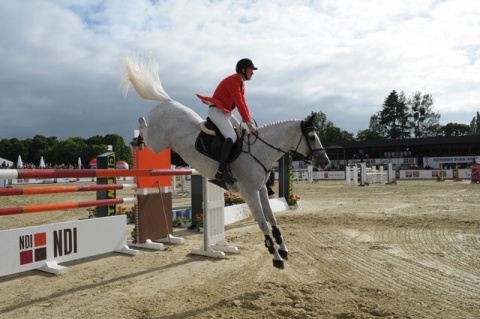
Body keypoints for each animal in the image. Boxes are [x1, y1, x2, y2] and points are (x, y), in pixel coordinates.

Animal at [123, 55, 330, 270]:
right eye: (312, 137)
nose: (326, 162)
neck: (260, 150)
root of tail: (168, 102)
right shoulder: (249, 193)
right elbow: (262, 222)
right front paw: (275, 256)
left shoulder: (261, 190)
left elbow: (272, 218)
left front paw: (283, 248)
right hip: (157, 143)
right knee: (143, 126)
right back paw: (137, 139)